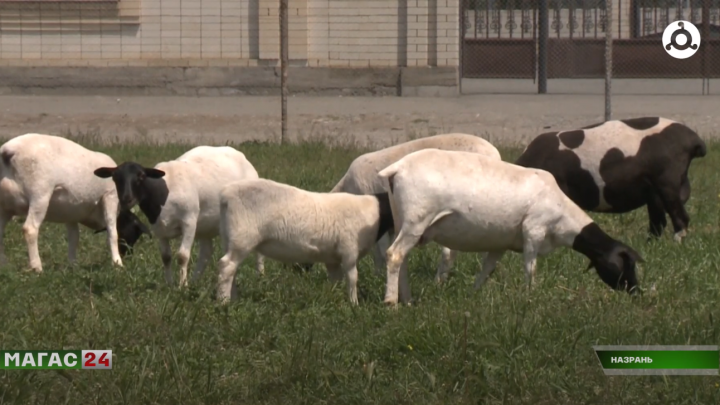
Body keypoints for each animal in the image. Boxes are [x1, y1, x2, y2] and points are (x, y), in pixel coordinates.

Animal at [0, 133, 150, 272]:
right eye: (132, 235)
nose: (128, 256)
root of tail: (8, 151)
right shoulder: (110, 196)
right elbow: (112, 232)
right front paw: (117, 263)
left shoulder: (71, 212)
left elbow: (74, 237)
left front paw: (73, 265)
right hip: (40, 194)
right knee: (30, 229)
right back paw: (37, 267)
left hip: (5, 206)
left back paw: (4, 266)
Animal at [217, 178, 394, 304]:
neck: (374, 212)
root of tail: (225, 195)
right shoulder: (349, 250)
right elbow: (352, 278)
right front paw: (354, 304)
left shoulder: (332, 258)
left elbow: (335, 280)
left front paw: (334, 298)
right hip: (242, 238)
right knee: (227, 266)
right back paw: (224, 302)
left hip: (228, 238)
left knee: (232, 269)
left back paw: (233, 299)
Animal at [380, 150, 644, 304]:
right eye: (625, 264)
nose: (636, 293)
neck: (562, 214)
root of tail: (398, 167)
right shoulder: (534, 230)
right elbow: (531, 268)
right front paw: (530, 297)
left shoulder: (501, 244)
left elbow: (487, 270)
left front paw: (473, 295)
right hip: (417, 219)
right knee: (394, 255)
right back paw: (391, 304)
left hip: (402, 219)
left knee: (402, 260)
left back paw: (407, 300)